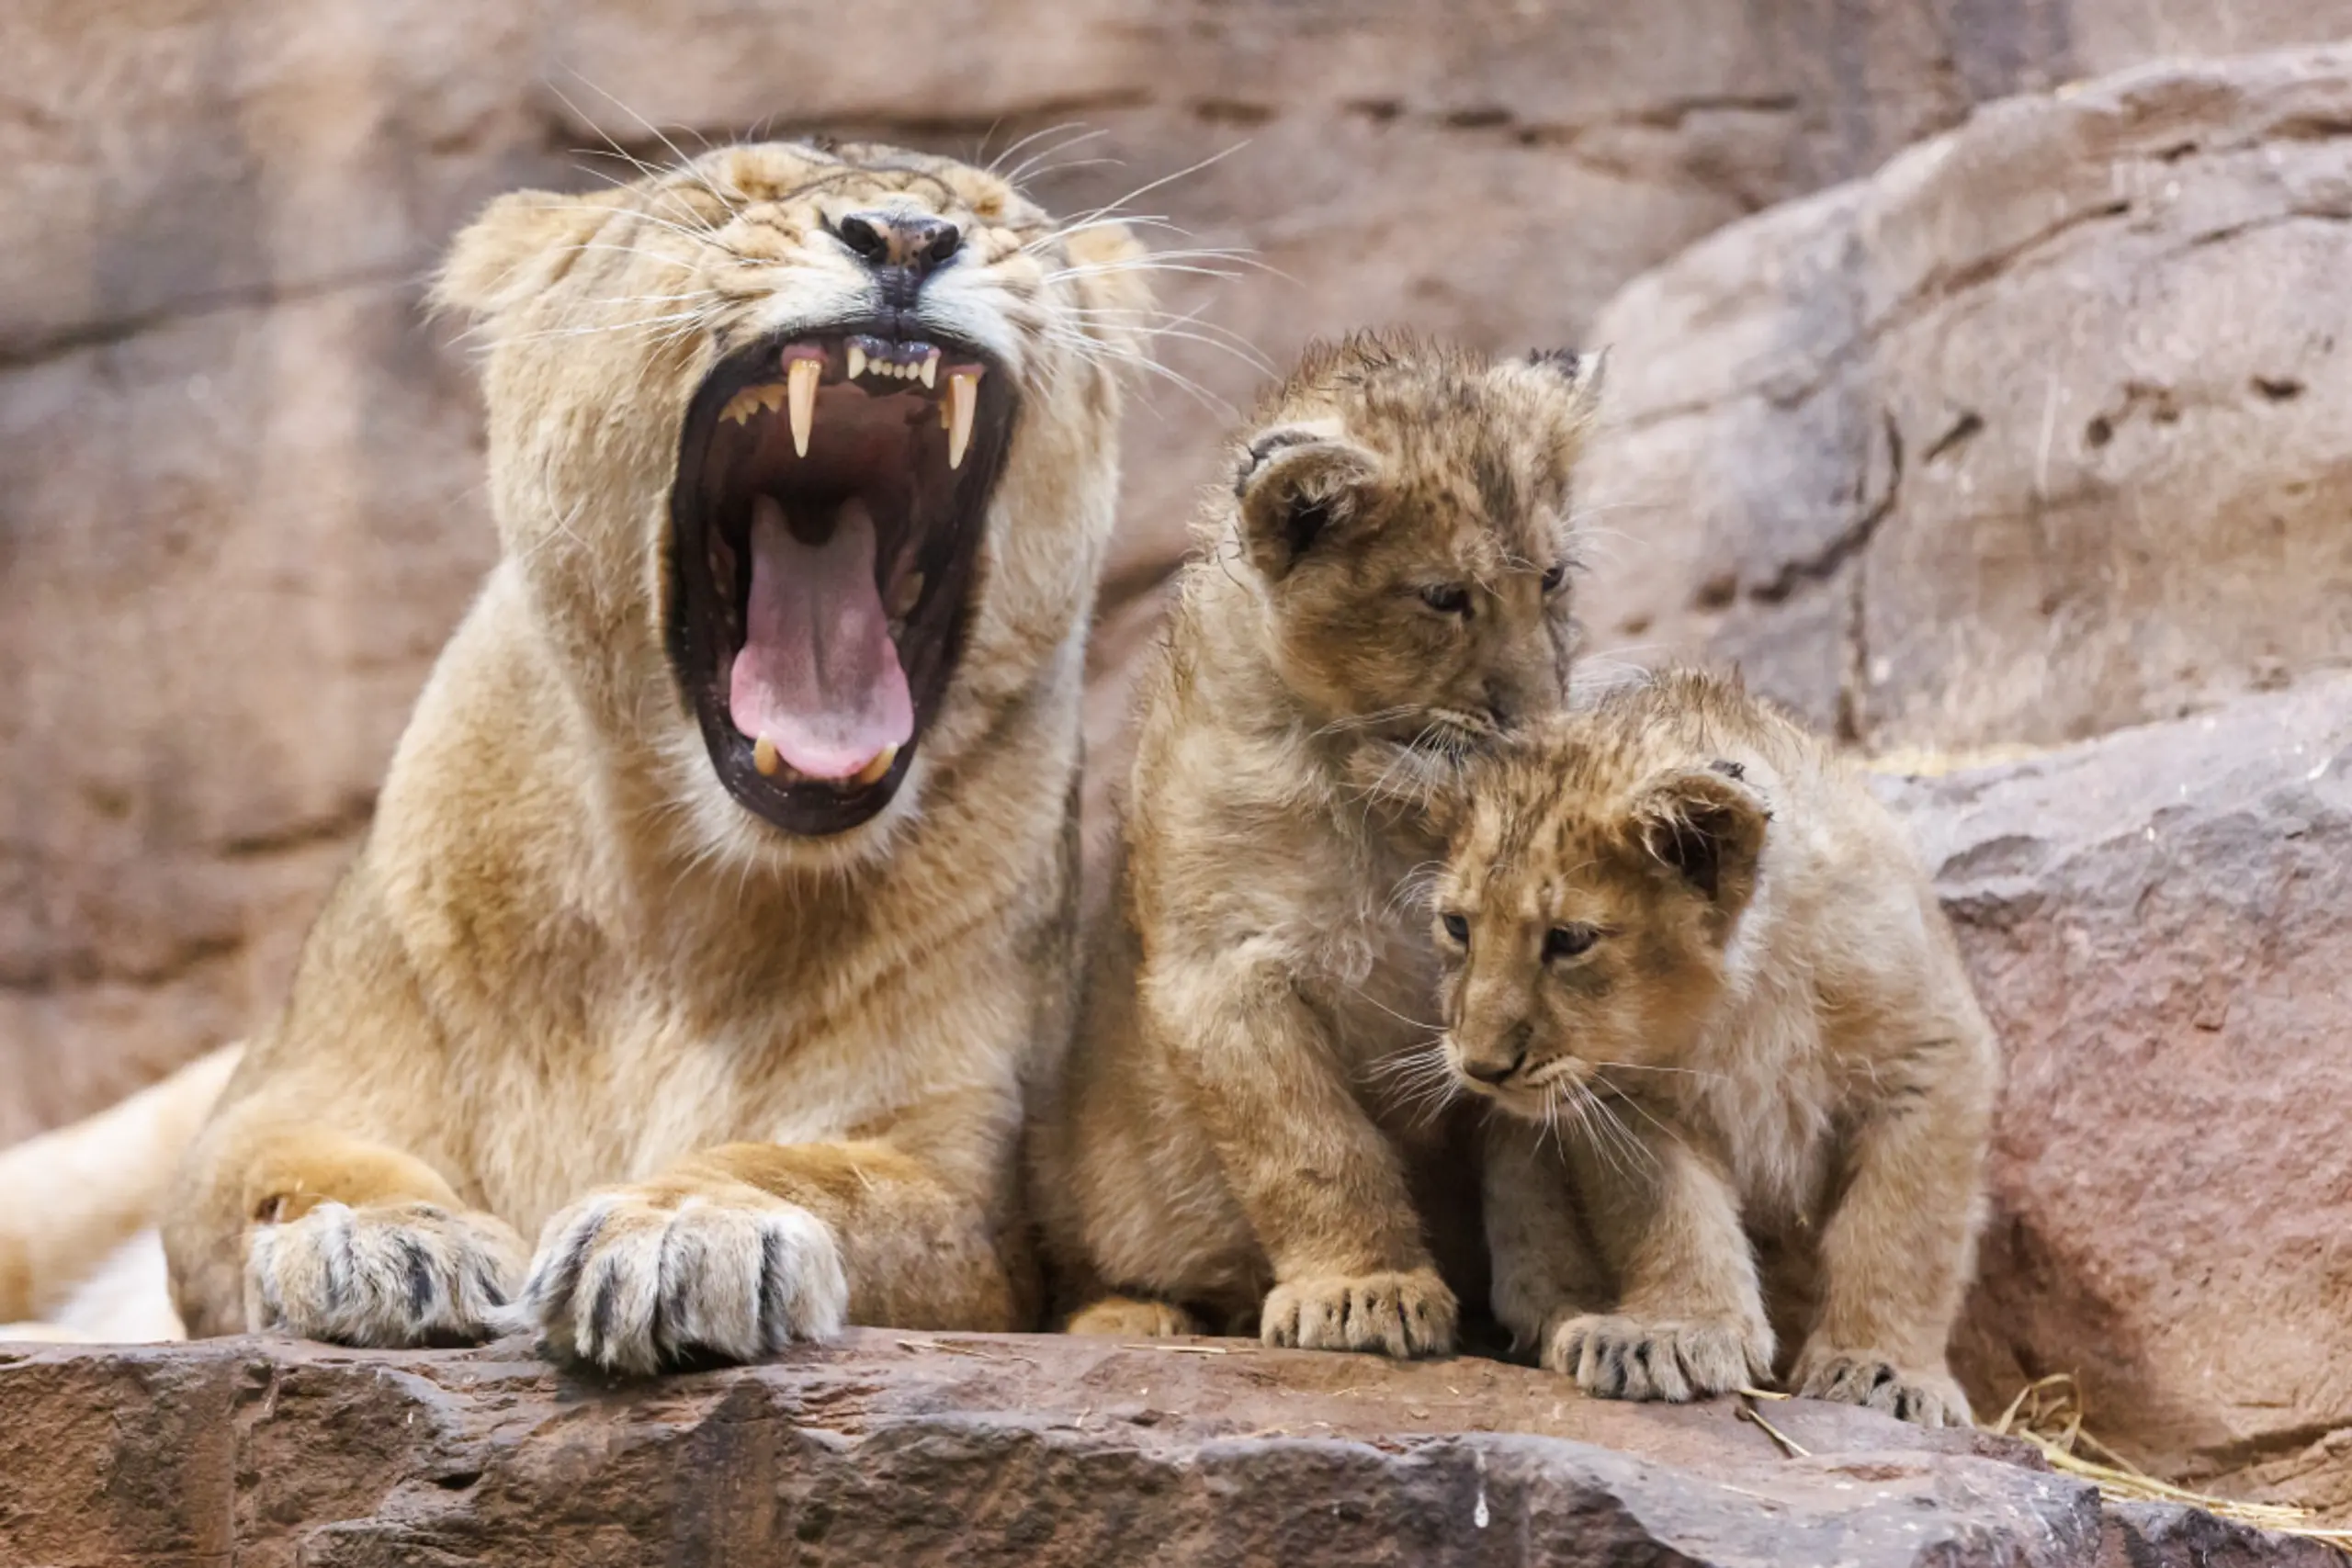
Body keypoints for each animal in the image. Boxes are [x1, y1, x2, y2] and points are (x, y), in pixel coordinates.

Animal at [53, 139, 1167, 1373]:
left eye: (997, 216)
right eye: (726, 198)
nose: (907, 236)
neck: (684, 905)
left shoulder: (971, 1190)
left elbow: (817, 1175)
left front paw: (687, 1230)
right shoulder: (276, 1098)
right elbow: (289, 1169)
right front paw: (386, 1241)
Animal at [1029, 334, 1607, 1356]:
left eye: (1551, 579)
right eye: (1445, 597)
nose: (1538, 725)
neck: (1393, 802)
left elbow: (1536, 1173)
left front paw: (1566, 1306)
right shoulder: (1224, 972)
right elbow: (1313, 1146)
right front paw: (1364, 1290)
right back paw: (1133, 1316)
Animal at [1430, 669, 1997, 1424]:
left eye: (1569, 939)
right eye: (1457, 926)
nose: (1481, 1067)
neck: (1741, 1001)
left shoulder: (1929, 1055)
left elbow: (1902, 1227)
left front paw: (1885, 1370)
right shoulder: (1627, 1093)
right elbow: (1670, 1215)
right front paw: (1671, 1334)